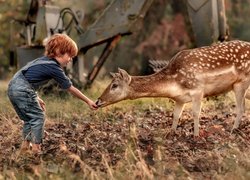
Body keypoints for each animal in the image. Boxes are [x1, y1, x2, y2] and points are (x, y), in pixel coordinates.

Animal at [96, 40, 250, 136]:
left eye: (114, 85)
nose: (98, 101)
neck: (174, 83)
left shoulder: (197, 89)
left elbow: (196, 113)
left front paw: (196, 136)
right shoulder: (180, 99)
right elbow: (175, 115)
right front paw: (171, 133)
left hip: (241, 82)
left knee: (241, 108)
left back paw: (233, 130)